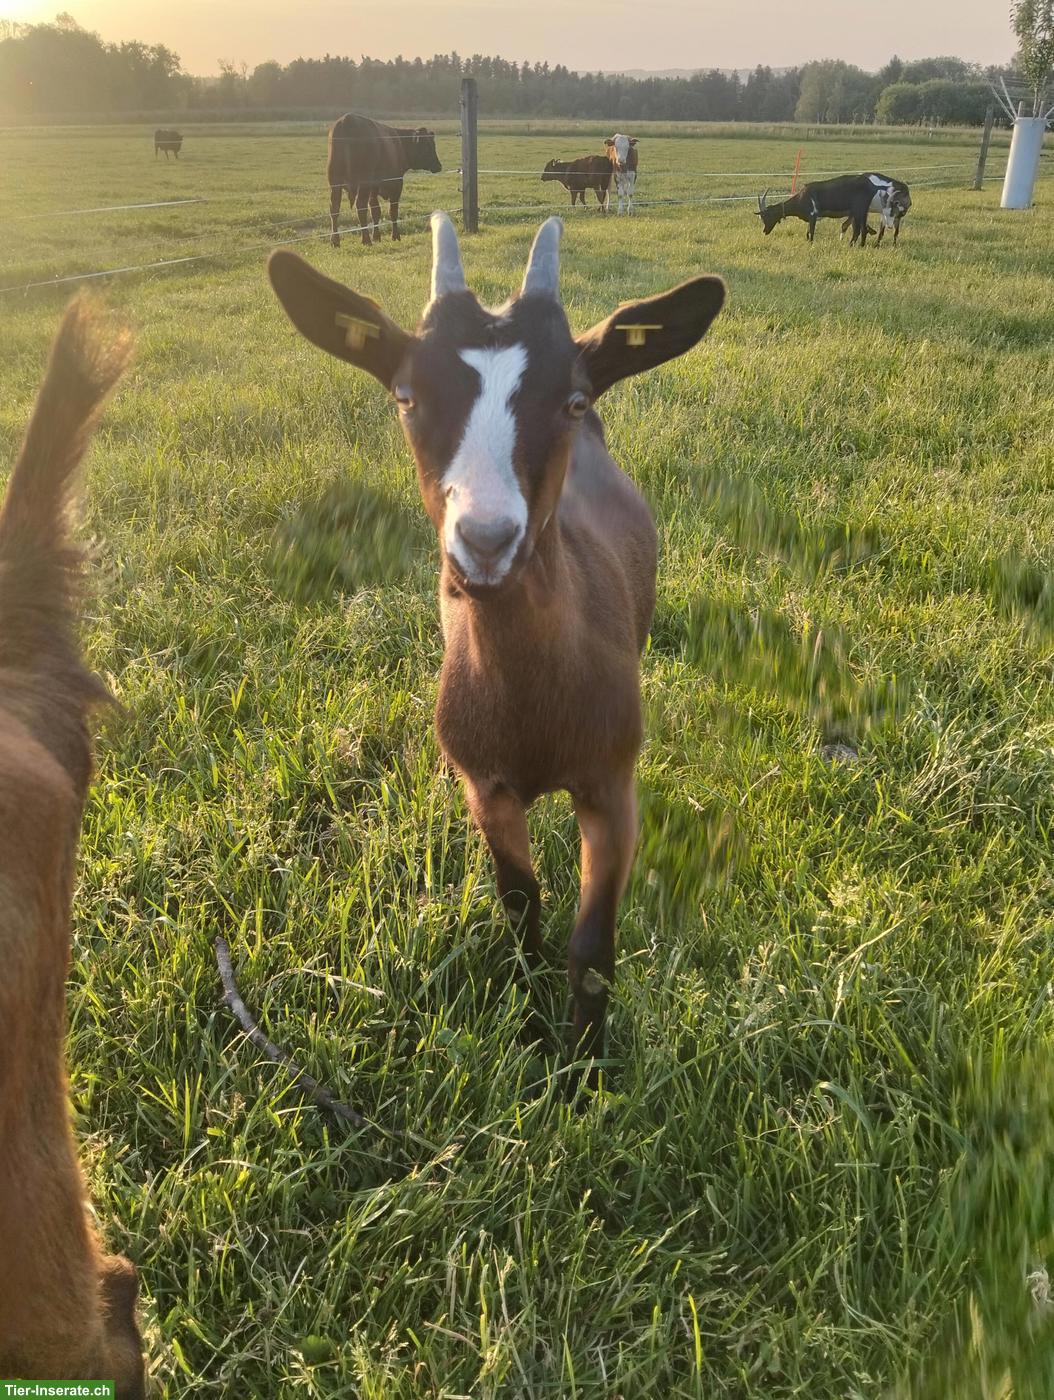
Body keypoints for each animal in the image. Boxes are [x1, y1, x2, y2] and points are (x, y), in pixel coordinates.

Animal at [268, 213, 725, 1073]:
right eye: (406, 397)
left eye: (571, 400)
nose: (485, 542)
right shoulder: (484, 784)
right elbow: (521, 906)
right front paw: (532, 1025)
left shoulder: (611, 785)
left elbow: (593, 946)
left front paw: (585, 1073)